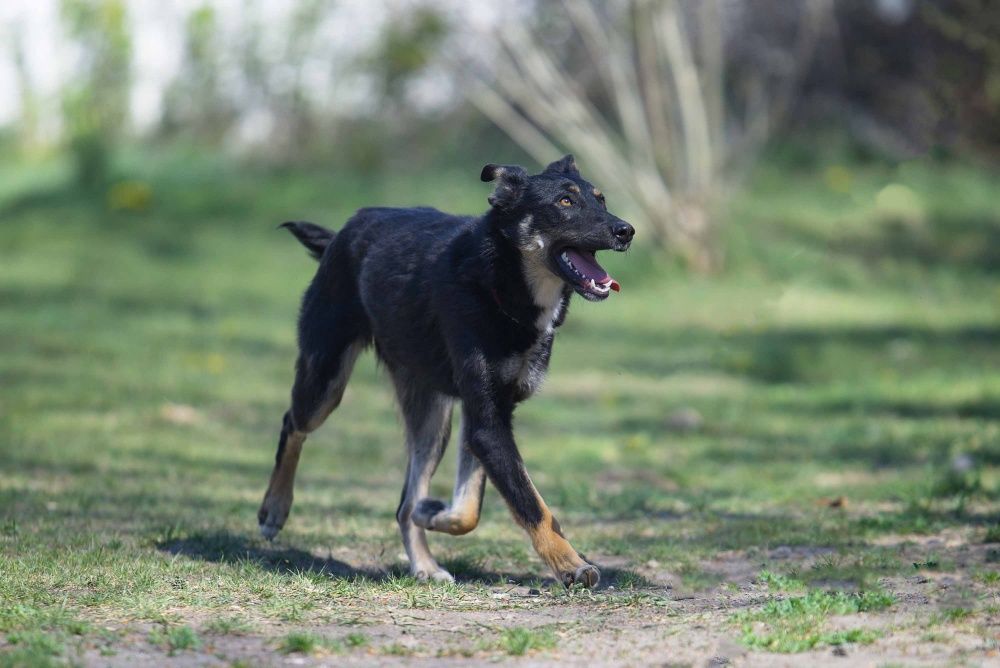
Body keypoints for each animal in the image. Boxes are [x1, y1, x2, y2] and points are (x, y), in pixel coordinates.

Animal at [258, 155, 632, 584]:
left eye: (601, 199)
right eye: (565, 202)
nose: (626, 230)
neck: (498, 281)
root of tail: (345, 229)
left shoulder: (484, 416)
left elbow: (468, 510)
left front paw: (434, 514)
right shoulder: (487, 423)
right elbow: (532, 505)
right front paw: (570, 564)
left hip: (433, 418)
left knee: (405, 503)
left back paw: (424, 563)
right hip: (325, 379)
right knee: (293, 423)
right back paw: (274, 509)